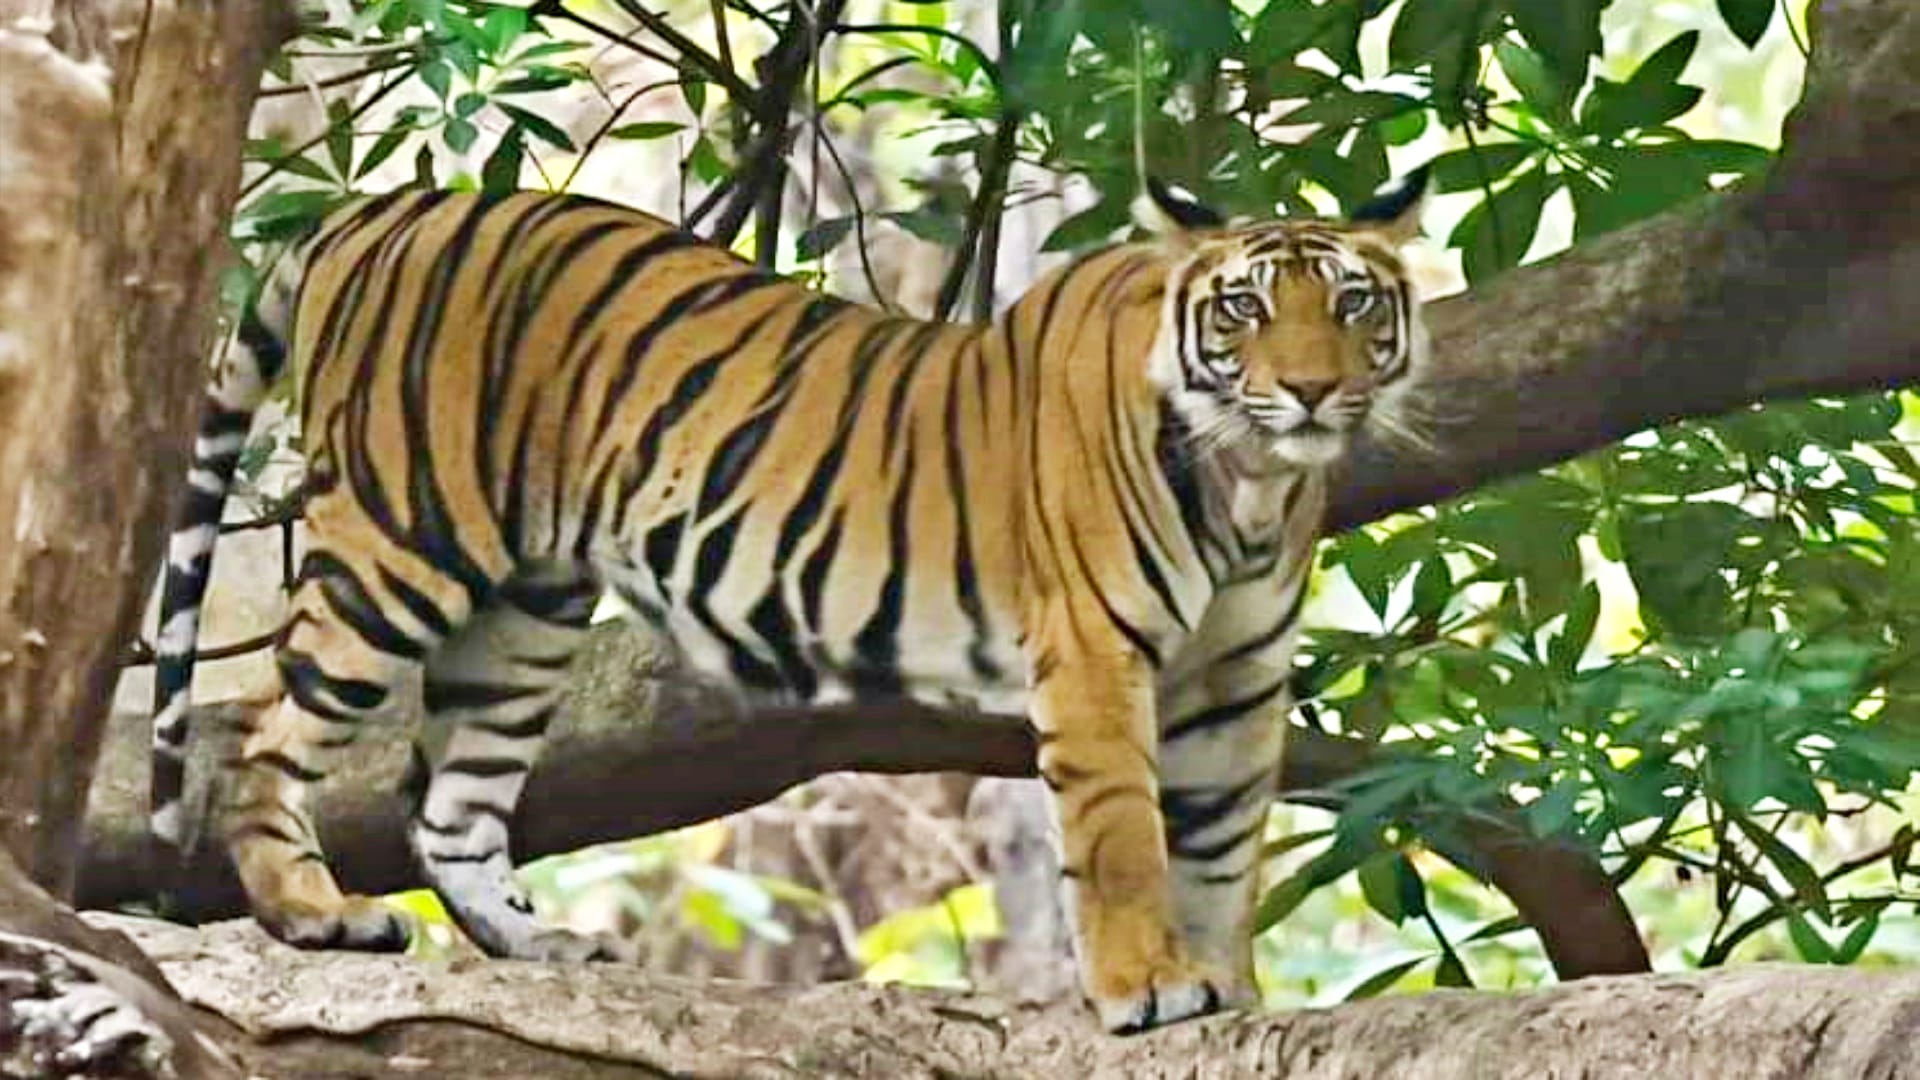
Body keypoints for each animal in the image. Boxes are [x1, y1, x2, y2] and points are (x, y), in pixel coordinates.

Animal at [148, 168, 1428, 1033]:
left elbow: (1224, 843)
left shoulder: (1237, 674)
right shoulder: (1096, 654)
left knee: (452, 805)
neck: (1253, 483)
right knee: (263, 729)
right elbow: (1123, 836)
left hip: (529, 611)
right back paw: (314, 913)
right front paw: (1148, 988)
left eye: (1355, 305)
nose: (1311, 392)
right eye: (1244, 310)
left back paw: (542, 945)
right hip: (399, 542)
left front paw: (1228, 988)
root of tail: (378, 209)